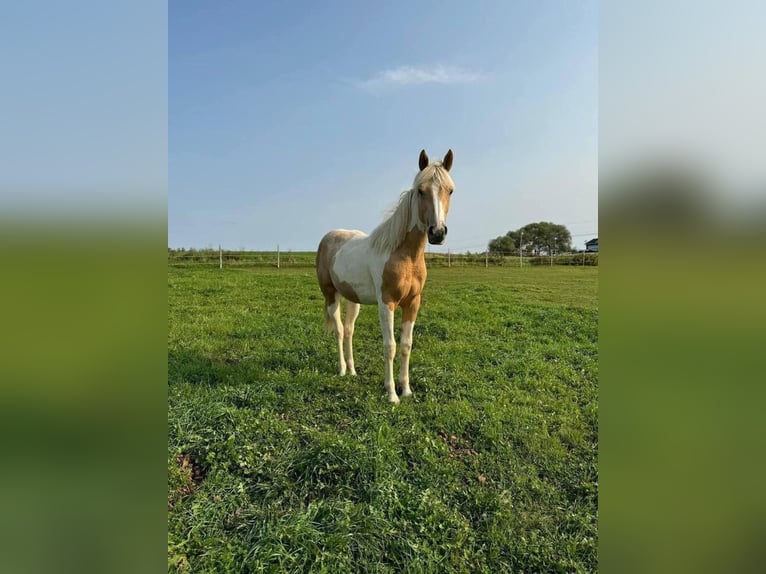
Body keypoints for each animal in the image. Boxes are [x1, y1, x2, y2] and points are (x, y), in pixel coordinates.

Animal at [316, 149, 455, 403]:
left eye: (450, 190)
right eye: (421, 191)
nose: (437, 233)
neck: (403, 254)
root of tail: (328, 238)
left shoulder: (412, 303)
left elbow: (406, 344)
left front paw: (406, 389)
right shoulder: (387, 303)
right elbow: (389, 346)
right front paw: (392, 394)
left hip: (353, 299)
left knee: (349, 330)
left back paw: (353, 370)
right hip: (331, 295)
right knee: (339, 329)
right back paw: (341, 370)